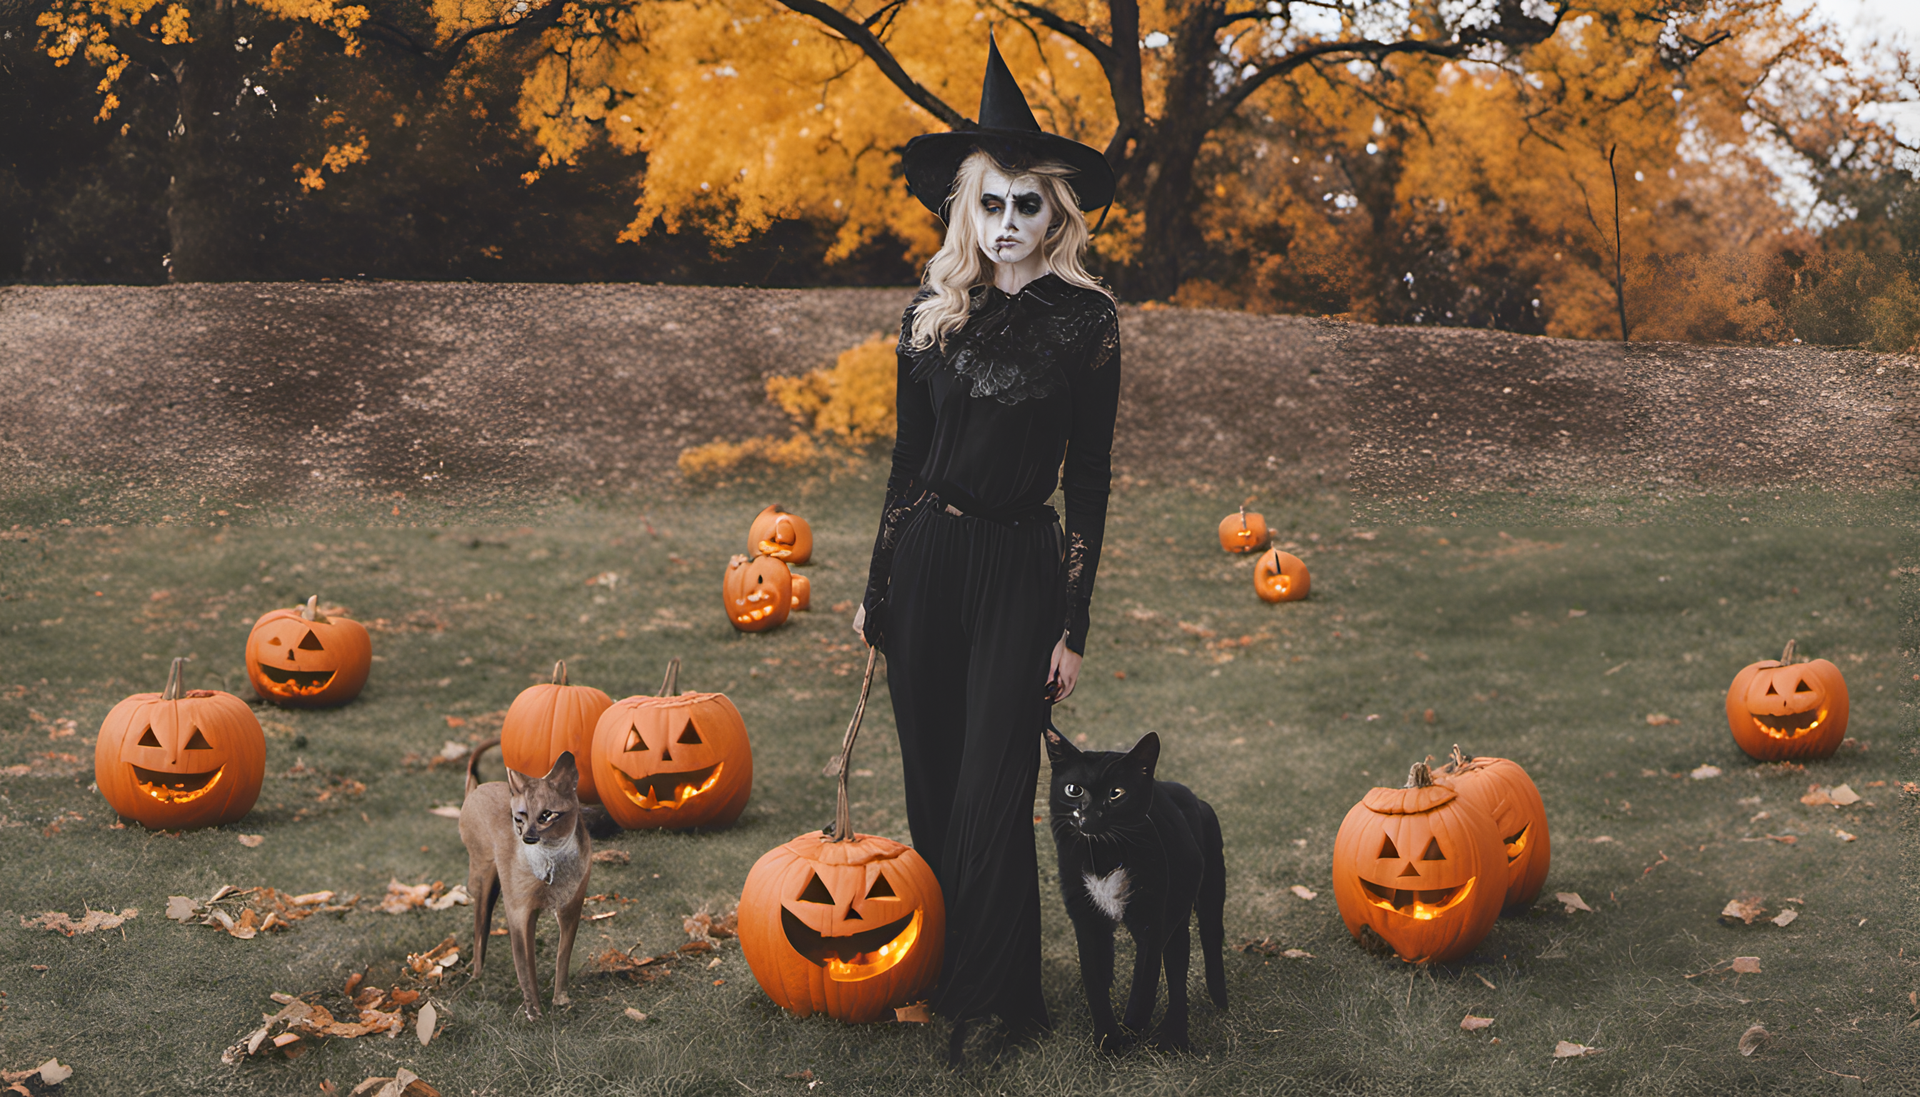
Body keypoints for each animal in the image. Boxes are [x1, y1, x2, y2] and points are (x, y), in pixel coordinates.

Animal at [1044, 726, 1221, 1052]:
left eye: (1116, 794)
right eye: (1074, 790)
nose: (1089, 816)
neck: (1103, 855)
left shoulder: (1152, 919)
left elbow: (1144, 982)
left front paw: (1131, 1031)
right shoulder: (1086, 921)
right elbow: (1095, 982)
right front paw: (1108, 1043)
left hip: (1179, 913)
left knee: (1177, 976)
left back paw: (1172, 1039)